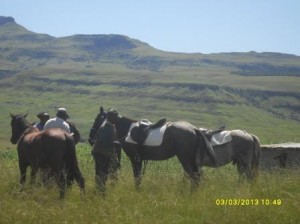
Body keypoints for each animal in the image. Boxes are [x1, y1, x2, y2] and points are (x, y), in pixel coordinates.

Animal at [88, 107, 217, 189]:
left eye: (97, 119)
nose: (90, 139)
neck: (128, 130)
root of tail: (194, 129)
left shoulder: (135, 159)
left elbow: (137, 177)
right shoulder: (138, 159)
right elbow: (138, 177)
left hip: (185, 158)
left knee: (194, 177)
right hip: (190, 159)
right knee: (197, 176)